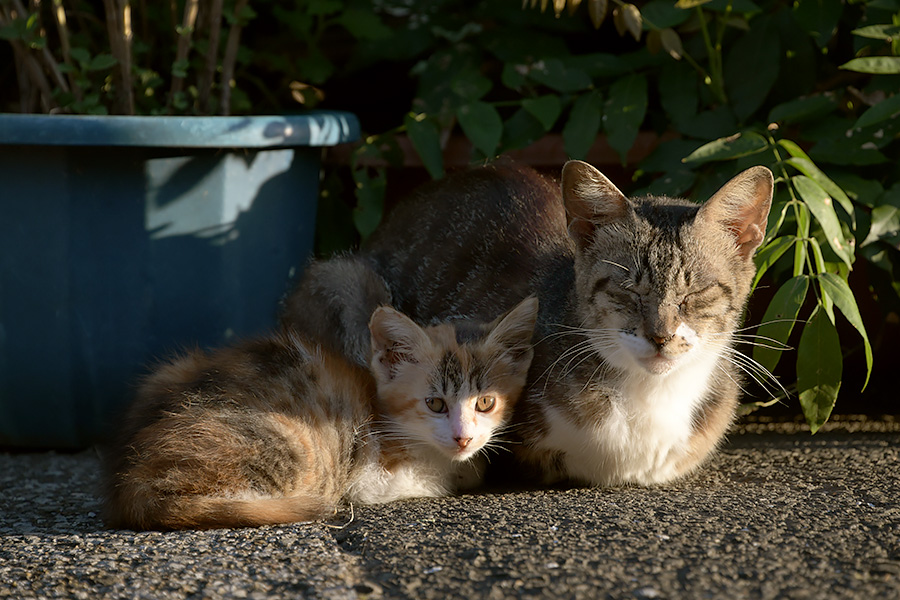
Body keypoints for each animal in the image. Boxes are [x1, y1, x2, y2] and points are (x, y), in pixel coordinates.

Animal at [102, 296, 536, 528]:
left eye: (485, 402)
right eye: (435, 404)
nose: (463, 437)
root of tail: (128, 484)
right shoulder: (372, 478)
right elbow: (445, 477)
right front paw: (465, 470)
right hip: (293, 444)